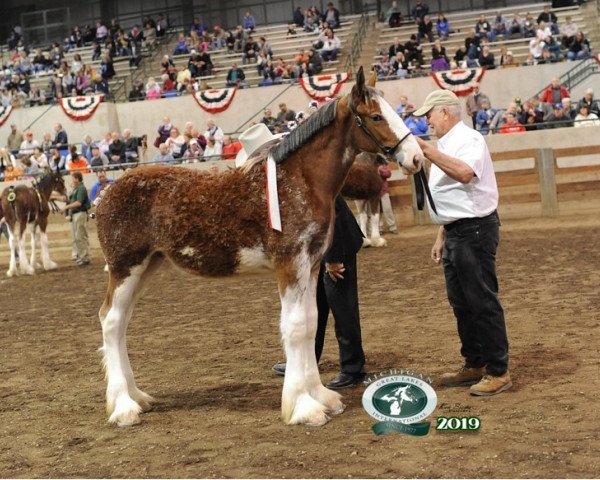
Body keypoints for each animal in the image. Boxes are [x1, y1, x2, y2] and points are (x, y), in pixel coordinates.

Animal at [95, 66, 422, 428]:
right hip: (126, 267)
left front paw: (321, 397)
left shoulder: (311, 265)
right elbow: (295, 328)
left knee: (120, 323)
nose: (416, 157)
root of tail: (105, 193)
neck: (299, 180)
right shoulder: (290, 264)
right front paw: (303, 407)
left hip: (147, 266)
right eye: (376, 116)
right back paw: (123, 407)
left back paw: (137, 397)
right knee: (111, 321)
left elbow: (310, 323)